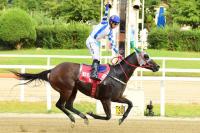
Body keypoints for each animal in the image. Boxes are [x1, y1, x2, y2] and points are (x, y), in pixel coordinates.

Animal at [12, 50, 159, 125]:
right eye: (146, 56)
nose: (157, 66)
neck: (118, 74)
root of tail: (52, 70)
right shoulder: (105, 99)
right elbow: (108, 116)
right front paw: (91, 113)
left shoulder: (116, 97)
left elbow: (130, 103)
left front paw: (122, 119)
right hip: (67, 89)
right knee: (60, 104)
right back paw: (74, 119)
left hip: (74, 90)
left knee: (68, 105)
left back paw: (83, 117)